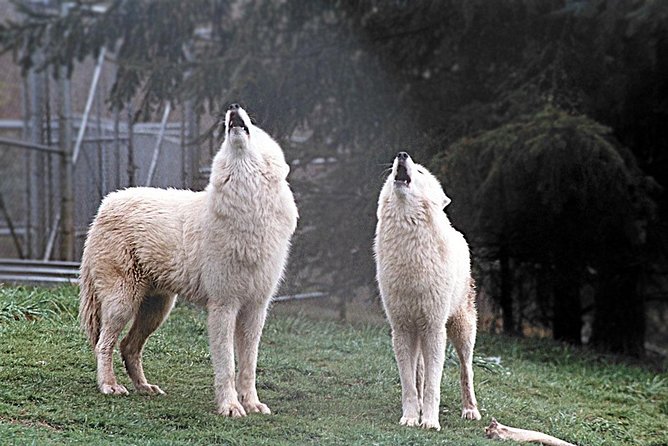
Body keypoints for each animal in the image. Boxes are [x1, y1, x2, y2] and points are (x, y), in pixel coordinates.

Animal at [79, 103, 298, 416]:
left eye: (254, 129)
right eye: (224, 138)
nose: (233, 107)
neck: (249, 210)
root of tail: (106, 203)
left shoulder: (256, 309)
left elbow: (248, 366)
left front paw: (252, 404)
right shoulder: (223, 307)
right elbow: (227, 366)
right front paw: (231, 407)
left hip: (157, 309)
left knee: (128, 347)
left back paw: (145, 388)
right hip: (123, 303)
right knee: (104, 344)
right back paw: (109, 385)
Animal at [376, 152, 480, 430]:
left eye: (421, 172)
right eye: (394, 169)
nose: (402, 155)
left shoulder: (434, 329)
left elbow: (434, 385)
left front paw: (431, 422)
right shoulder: (401, 329)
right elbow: (409, 384)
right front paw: (411, 417)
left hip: (461, 330)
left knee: (467, 369)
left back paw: (470, 410)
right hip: (418, 332)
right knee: (419, 371)